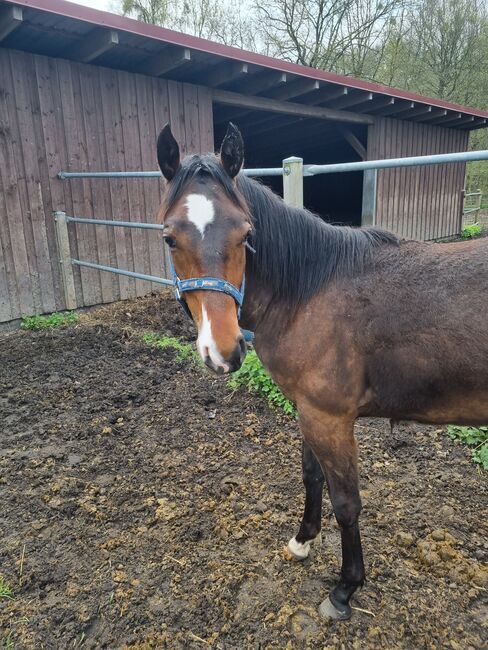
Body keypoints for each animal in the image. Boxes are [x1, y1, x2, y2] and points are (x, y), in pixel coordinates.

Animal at [156, 123, 488, 616]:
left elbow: (346, 502)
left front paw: (345, 589)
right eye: (170, 238)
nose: (225, 350)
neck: (309, 292)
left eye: (245, 233)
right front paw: (302, 541)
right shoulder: (308, 410)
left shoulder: (331, 419)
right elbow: (312, 476)